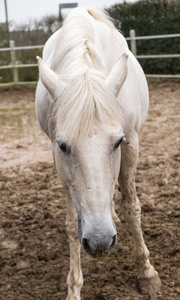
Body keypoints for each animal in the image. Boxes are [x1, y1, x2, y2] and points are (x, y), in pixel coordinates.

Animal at [34, 7, 160, 300]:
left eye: (117, 142)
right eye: (64, 146)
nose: (100, 241)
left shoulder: (131, 143)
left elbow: (132, 207)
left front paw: (147, 273)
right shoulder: (58, 160)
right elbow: (72, 223)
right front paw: (74, 288)